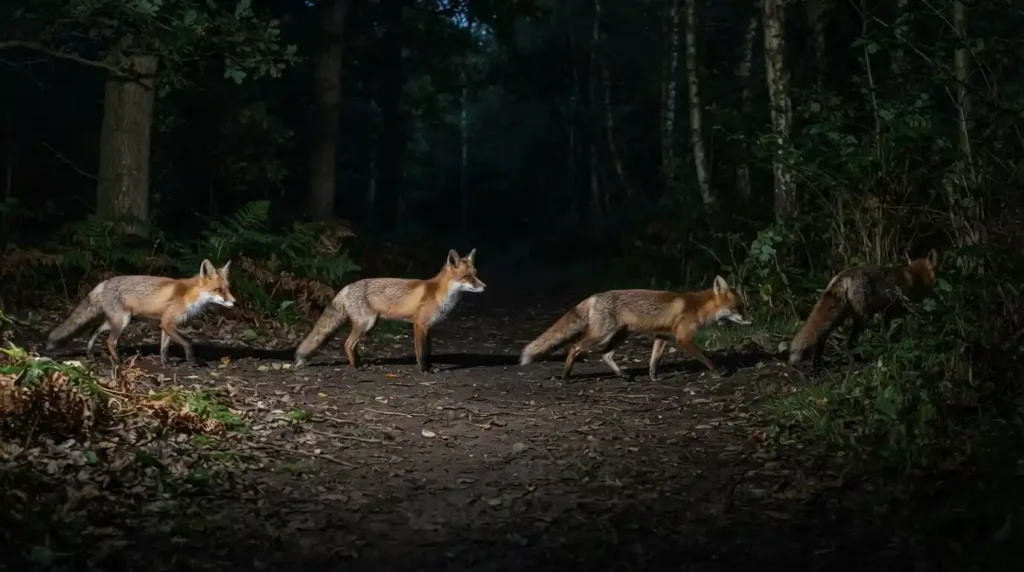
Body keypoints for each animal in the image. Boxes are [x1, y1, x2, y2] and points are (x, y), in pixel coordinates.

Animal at [45, 259, 236, 365]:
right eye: (218, 290)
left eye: (228, 288)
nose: (234, 302)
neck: (189, 296)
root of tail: (104, 282)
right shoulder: (167, 322)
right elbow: (187, 342)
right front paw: (191, 359)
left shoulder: (166, 324)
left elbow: (164, 347)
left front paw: (165, 363)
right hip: (122, 321)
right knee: (109, 341)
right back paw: (118, 362)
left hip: (117, 320)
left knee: (94, 330)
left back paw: (90, 354)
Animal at [294, 248, 485, 372]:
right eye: (466, 277)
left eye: (476, 274)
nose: (484, 287)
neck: (440, 293)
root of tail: (348, 286)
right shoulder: (419, 325)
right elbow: (421, 352)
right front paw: (424, 370)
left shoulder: (429, 327)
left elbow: (429, 351)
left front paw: (431, 367)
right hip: (367, 323)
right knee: (347, 344)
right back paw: (356, 367)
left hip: (369, 324)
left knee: (351, 345)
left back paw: (360, 362)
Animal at [519, 275, 752, 381]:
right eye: (738, 308)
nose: (750, 320)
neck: (697, 307)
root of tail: (594, 296)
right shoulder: (682, 338)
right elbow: (705, 357)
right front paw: (718, 371)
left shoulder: (662, 336)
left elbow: (654, 360)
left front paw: (653, 377)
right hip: (601, 335)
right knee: (575, 348)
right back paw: (566, 376)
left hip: (620, 335)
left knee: (605, 354)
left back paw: (621, 374)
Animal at [787, 249, 939, 368]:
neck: (914, 276)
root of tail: (844, 276)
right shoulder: (896, 310)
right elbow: (899, 333)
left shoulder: (886, 312)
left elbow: (886, 332)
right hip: (863, 317)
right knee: (850, 342)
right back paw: (857, 359)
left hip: (839, 317)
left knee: (821, 337)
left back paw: (817, 363)